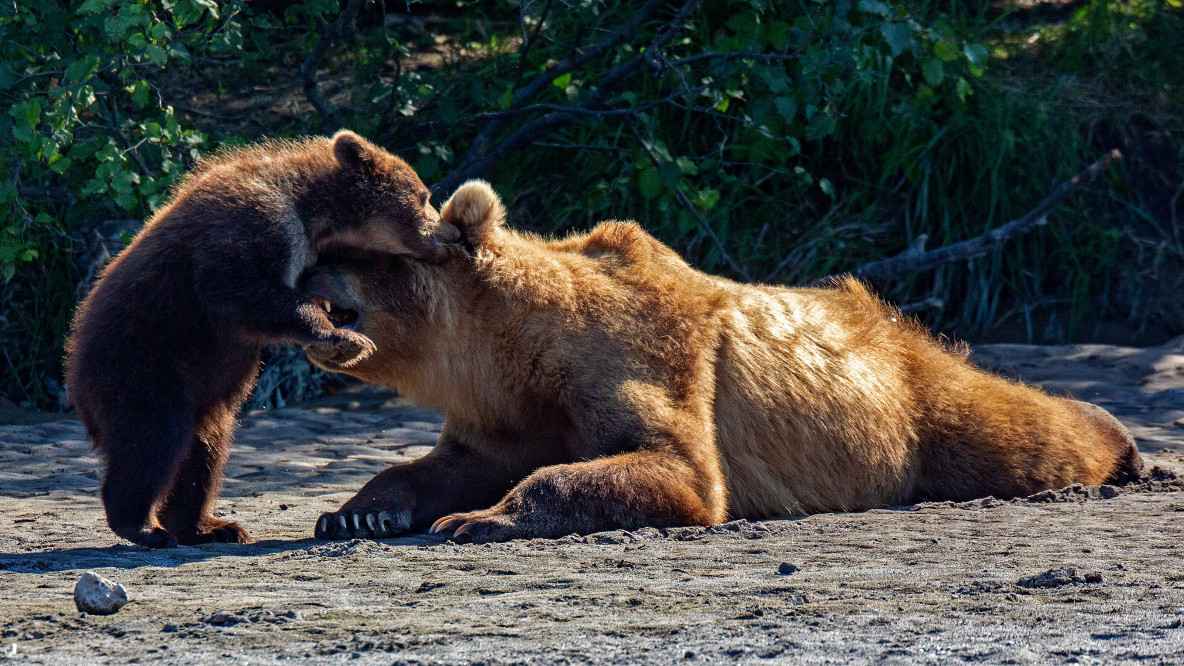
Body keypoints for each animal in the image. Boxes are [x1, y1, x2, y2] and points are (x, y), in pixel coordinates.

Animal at [63, 130, 457, 549]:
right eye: (423, 195)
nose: (450, 234)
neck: (314, 214)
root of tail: (74, 374)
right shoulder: (251, 225)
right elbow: (240, 291)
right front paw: (343, 338)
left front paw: (340, 336)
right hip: (141, 363)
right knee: (154, 438)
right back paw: (142, 525)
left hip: (199, 394)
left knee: (205, 450)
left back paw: (210, 527)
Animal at [300, 178, 1141, 542]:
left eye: (358, 254)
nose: (303, 273)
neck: (516, 349)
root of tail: (894, 321)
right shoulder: (507, 410)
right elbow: (449, 464)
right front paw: (359, 509)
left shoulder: (637, 356)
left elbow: (673, 466)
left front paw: (480, 517)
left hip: (912, 407)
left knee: (1015, 434)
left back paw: (1122, 441)